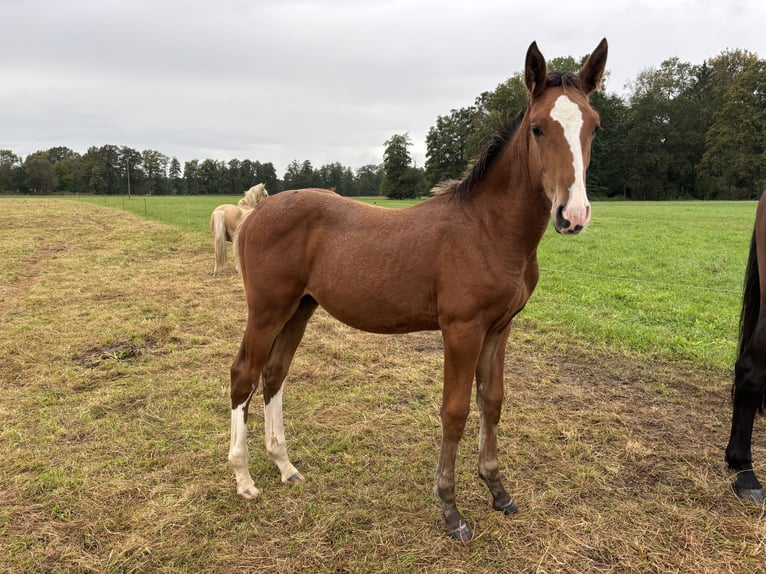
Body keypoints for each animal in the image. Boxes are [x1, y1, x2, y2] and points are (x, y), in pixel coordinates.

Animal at [228, 39, 612, 540]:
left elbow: (492, 401)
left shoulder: (500, 328)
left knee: (275, 374)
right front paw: (450, 510)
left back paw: (285, 466)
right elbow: (455, 411)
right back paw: (244, 479)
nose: (573, 214)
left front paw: (498, 491)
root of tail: (257, 210)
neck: (488, 228)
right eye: (538, 127)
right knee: (244, 375)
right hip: (267, 310)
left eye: (593, 126)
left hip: (300, 308)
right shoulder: (462, 330)